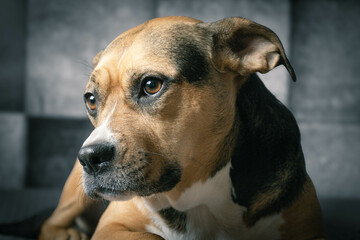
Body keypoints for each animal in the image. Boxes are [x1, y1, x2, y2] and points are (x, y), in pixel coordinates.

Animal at [38, 15, 326, 239]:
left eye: (151, 85)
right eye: (91, 99)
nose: (89, 157)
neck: (196, 191)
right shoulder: (112, 226)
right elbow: (151, 236)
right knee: (49, 224)